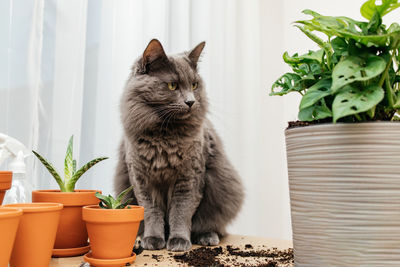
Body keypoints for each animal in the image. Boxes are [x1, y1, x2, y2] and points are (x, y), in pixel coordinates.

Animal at [113, 38, 244, 252]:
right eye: (173, 85)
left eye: (194, 84)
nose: (190, 101)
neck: (165, 136)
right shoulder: (141, 180)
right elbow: (151, 212)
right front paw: (153, 239)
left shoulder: (189, 178)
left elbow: (180, 212)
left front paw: (179, 241)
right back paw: (139, 238)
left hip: (223, 191)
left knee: (212, 224)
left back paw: (207, 237)